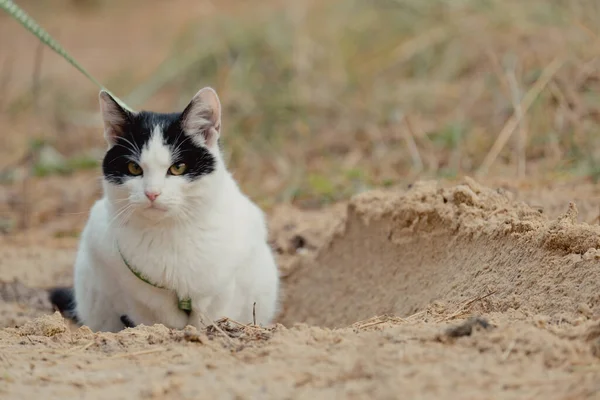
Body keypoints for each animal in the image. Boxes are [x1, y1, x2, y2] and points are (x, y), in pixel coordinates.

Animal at [48, 89, 278, 332]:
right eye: (134, 168)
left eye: (178, 168)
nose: (152, 193)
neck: (170, 232)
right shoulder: (121, 278)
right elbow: (152, 317)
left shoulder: (227, 286)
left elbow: (212, 315)